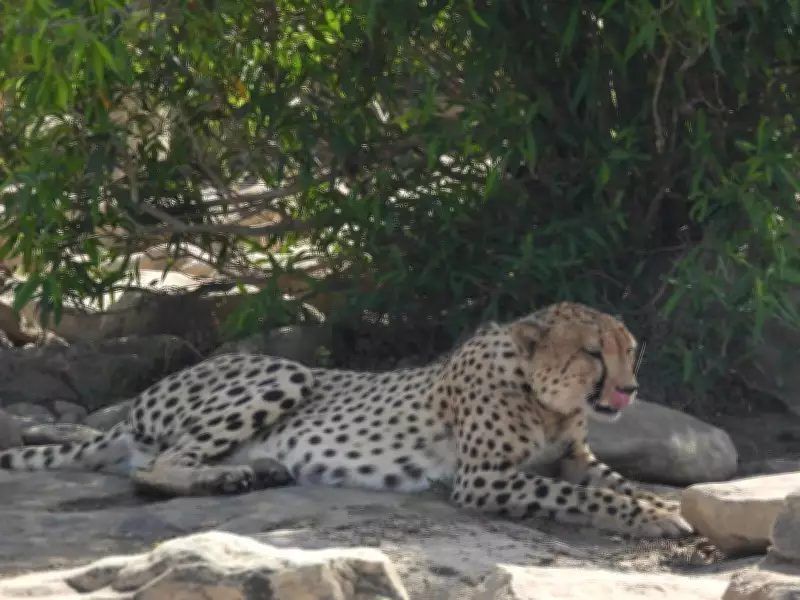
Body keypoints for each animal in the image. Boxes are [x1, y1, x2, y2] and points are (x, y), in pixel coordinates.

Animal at [0, 301, 694, 538]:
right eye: (593, 352)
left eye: (629, 350)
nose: (630, 389)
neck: (544, 397)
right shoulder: (483, 479)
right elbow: (581, 496)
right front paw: (655, 518)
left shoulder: (577, 457)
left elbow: (617, 482)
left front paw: (663, 502)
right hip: (286, 372)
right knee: (156, 468)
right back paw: (228, 478)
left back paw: (256, 469)